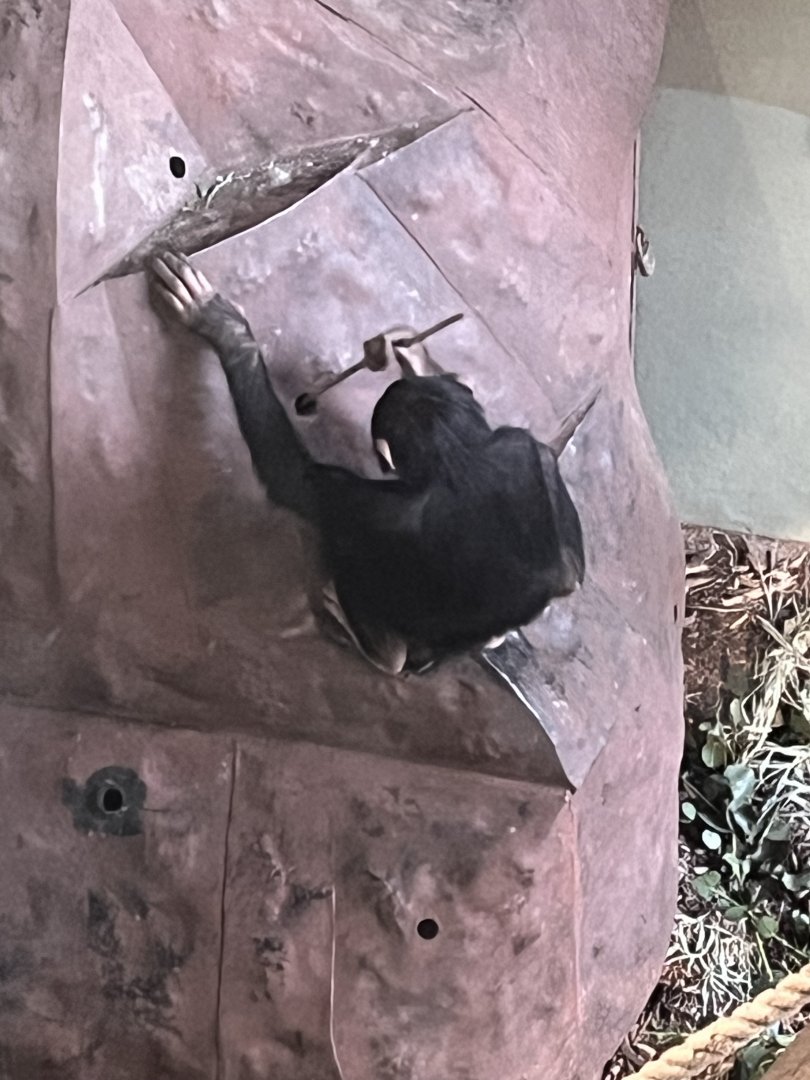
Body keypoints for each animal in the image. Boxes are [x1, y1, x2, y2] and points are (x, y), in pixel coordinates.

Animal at [150, 252, 587, 676]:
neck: (457, 456)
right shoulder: (524, 446)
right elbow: (571, 570)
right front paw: (406, 350)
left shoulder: (362, 502)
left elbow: (292, 477)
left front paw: (224, 328)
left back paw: (377, 646)